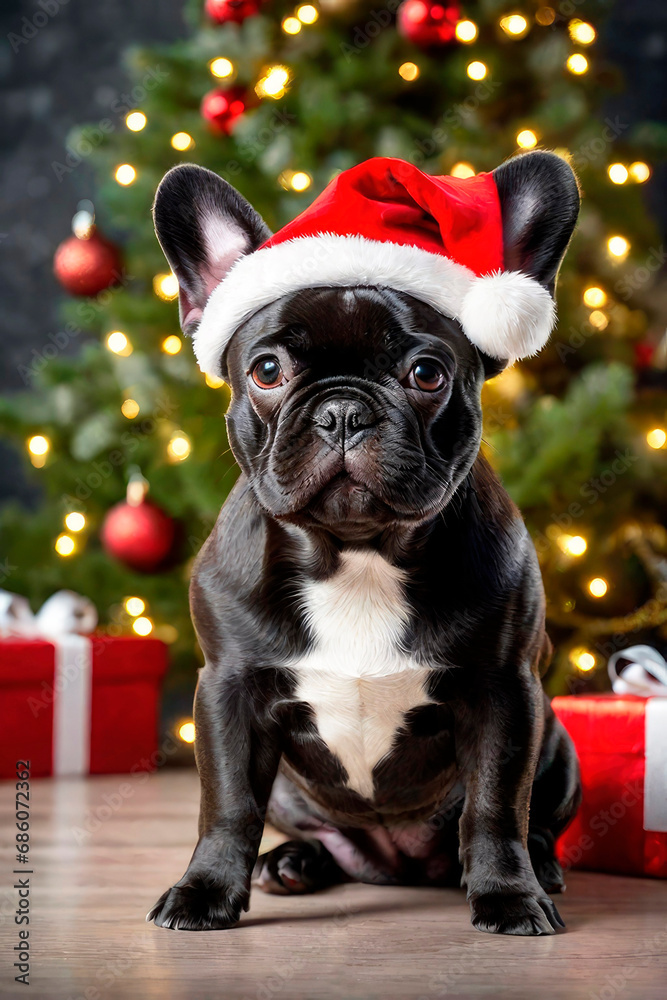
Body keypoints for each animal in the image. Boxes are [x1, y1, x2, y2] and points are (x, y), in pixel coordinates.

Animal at [149, 152, 580, 932]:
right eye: (266, 370)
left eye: (427, 374)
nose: (343, 410)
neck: (356, 554)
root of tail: (396, 865)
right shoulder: (228, 690)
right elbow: (226, 804)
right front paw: (205, 892)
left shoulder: (506, 692)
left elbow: (496, 806)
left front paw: (508, 895)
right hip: (294, 789)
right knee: (314, 834)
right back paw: (291, 864)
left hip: (556, 742)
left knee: (527, 820)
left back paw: (544, 869)